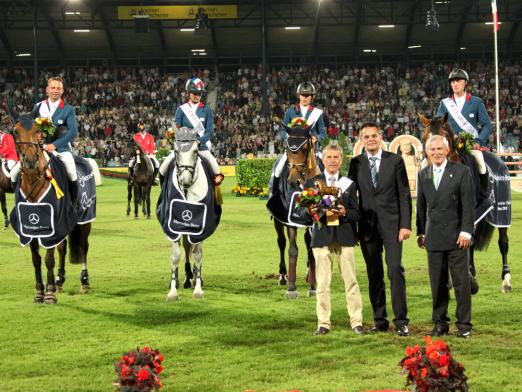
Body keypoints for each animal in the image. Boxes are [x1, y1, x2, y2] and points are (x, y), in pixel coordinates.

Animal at [12, 115, 92, 304]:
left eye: (38, 131)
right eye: (15, 131)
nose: (30, 161)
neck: (35, 180)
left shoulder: (51, 225)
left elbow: (48, 259)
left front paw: (48, 294)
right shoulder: (30, 227)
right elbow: (36, 259)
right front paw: (39, 292)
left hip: (85, 220)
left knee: (84, 246)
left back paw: (84, 281)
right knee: (62, 247)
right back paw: (59, 280)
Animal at [266, 124, 318, 298]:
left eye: (305, 148)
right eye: (287, 148)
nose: (293, 181)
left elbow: (312, 250)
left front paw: (313, 286)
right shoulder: (288, 219)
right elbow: (292, 250)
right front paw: (291, 288)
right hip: (277, 220)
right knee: (281, 242)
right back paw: (283, 276)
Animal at [416, 112, 510, 292]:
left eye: (444, 136)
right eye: (424, 138)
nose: (433, 162)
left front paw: (468, 281)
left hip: (501, 213)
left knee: (503, 243)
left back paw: (506, 281)